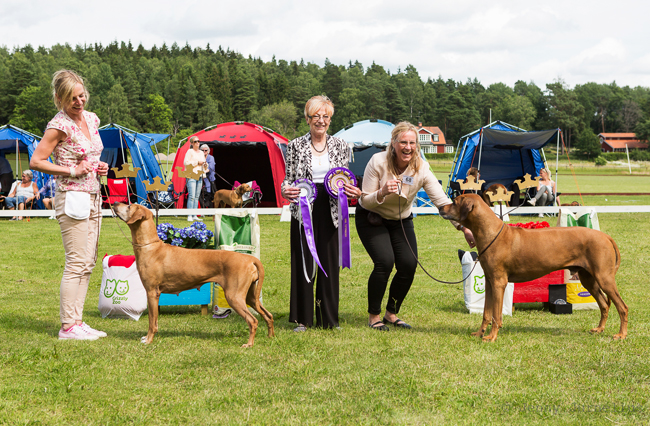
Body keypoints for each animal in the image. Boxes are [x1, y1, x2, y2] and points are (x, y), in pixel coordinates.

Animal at [112, 202, 272, 346]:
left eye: (129, 206)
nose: (114, 203)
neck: (150, 247)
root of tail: (250, 258)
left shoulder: (152, 293)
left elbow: (152, 321)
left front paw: (148, 340)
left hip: (235, 296)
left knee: (253, 320)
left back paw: (249, 344)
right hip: (250, 296)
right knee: (268, 315)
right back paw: (271, 337)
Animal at [438, 195, 624, 342]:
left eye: (455, 201)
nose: (439, 207)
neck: (491, 232)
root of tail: (605, 236)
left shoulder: (499, 283)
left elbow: (496, 315)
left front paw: (492, 336)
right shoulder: (490, 282)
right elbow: (486, 313)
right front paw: (480, 333)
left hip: (604, 278)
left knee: (622, 306)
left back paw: (621, 334)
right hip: (588, 279)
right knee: (604, 305)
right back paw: (599, 329)